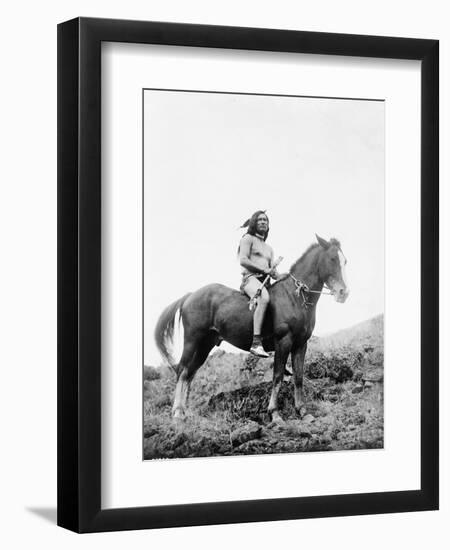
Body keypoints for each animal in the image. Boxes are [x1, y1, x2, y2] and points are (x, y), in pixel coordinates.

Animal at [154, 235, 348, 424]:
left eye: (345, 261)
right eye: (332, 259)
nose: (344, 293)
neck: (295, 296)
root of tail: (190, 295)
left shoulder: (301, 345)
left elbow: (298, 377)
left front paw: (302, 412)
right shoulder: (283, 342)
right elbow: (277, 376)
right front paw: (275, 414)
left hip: (204, 346)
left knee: (190, 373)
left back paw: (184, 411)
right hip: (192, 341)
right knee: (182, 370)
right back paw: (177, 413)